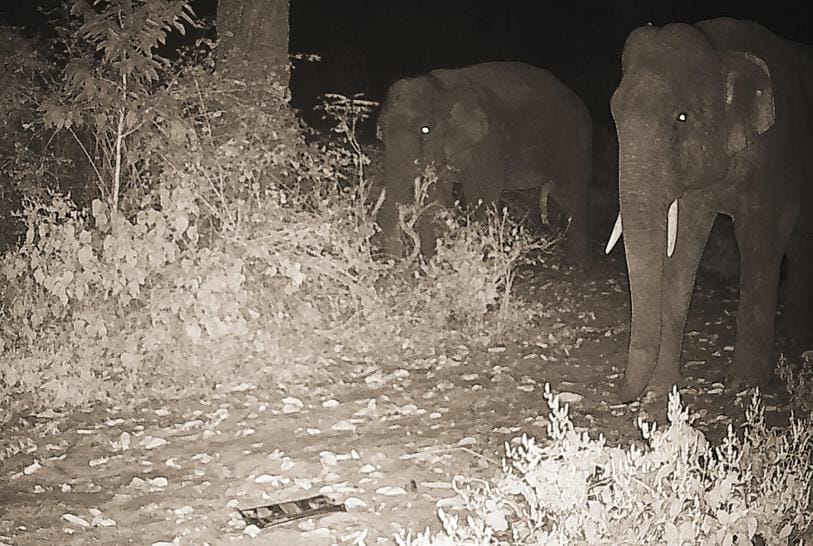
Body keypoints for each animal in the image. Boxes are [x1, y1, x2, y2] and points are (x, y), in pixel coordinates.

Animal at [375, 62, 592, 268]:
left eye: (425, 129)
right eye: (381, 132)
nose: (397, 266)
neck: (444, 89)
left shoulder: (488, 145)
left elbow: (482, 195)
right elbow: (436, 198)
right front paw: (432, 263)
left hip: (574, 144)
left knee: (571, 196)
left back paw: (574, 265)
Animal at [605, 18, 813, 402]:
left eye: (682, 117)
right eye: (614, 112)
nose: (619, 393)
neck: (721, 50)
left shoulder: (779, 153)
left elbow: (760, 242)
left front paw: (746, 383)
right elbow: (683, 248)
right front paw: (661, 390)